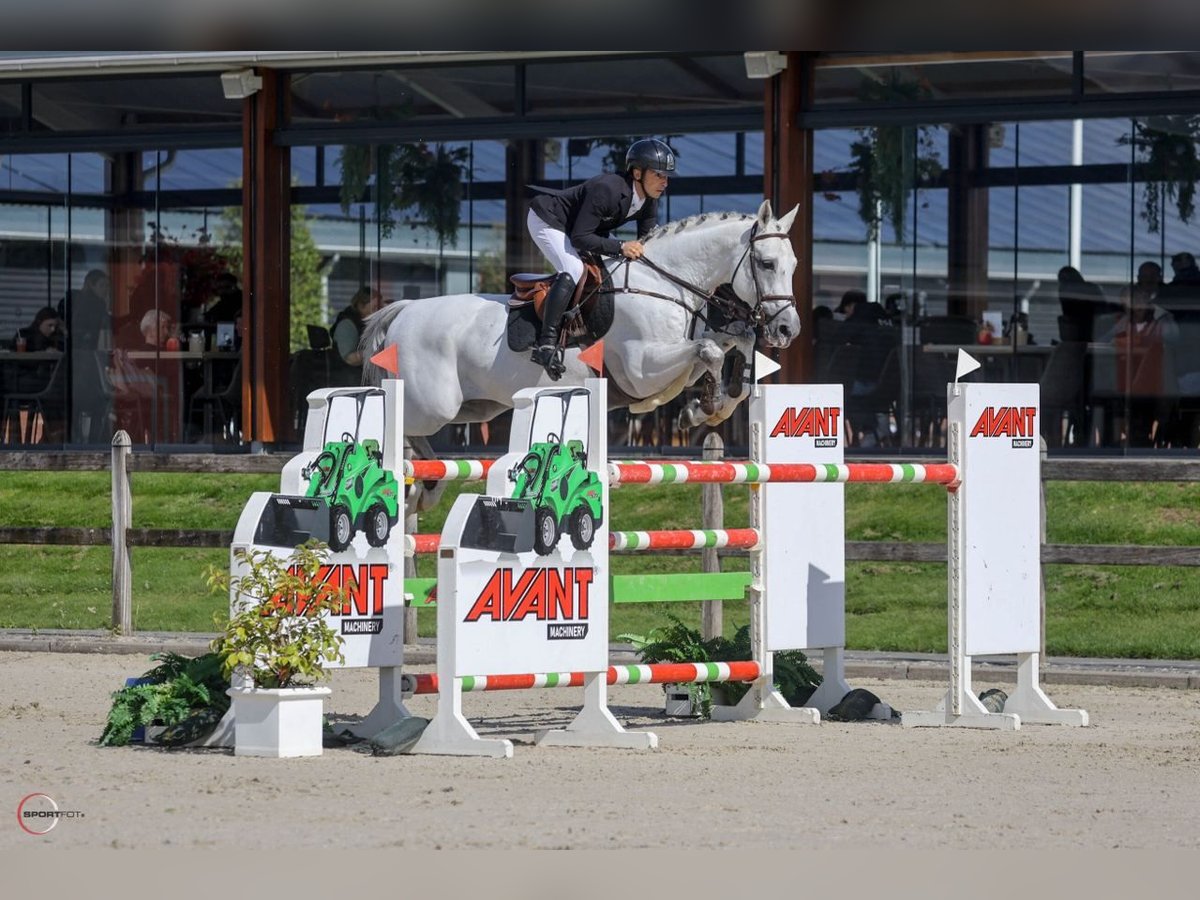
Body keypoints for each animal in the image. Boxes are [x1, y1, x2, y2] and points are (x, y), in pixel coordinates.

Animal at [360, 199, 801, 441]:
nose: (787, 329)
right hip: (431, 408)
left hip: (473, 409)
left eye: (794, 264)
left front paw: (705, 408)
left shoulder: (679, 356)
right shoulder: (640, 371)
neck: (663, 281)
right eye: (766, 263)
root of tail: (403, 311)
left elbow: (728, 347)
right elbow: (709, 350)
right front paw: (704, 406)